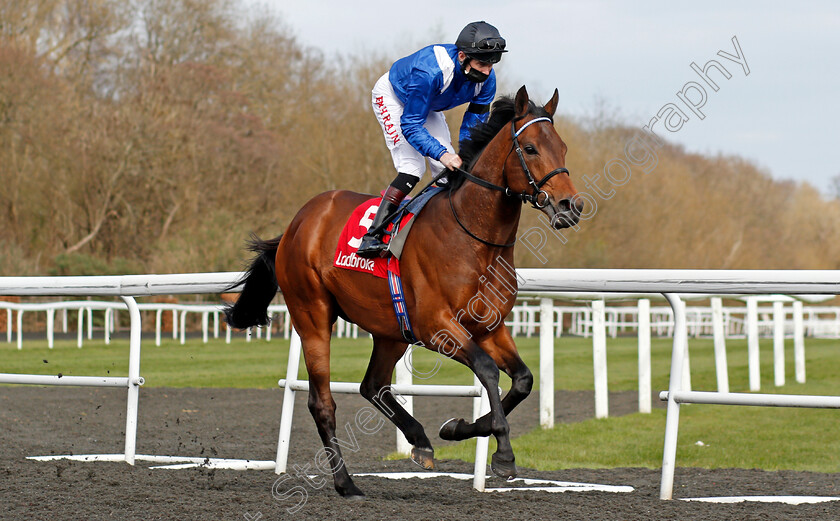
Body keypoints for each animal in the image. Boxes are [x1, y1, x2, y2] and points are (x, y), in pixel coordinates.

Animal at [230, 85, 584, 496]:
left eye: (562, 147)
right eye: (530, 148)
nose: (570, 205)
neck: (474, 239)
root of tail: (296, 223)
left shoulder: (489, 327)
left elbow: (523, 380)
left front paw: (459, 428)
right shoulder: (437, 327)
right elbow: (487, 370)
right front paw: (503, 454)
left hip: (391, 330)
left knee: (372, 385)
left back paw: (420, 440)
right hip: (312, 315)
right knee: (323, 403)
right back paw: (346, 483)